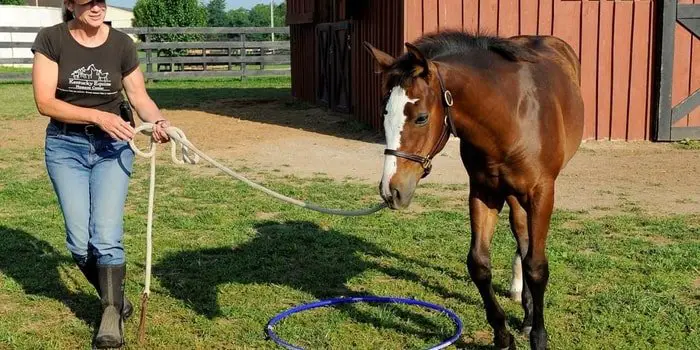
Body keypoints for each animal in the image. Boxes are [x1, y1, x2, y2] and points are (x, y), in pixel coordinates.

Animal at [366, 30, 584, 350]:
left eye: (421, 117)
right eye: (384, 113)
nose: (391, 190)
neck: (512, 116)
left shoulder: (542, 194)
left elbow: (537, 267)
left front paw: (538, 337)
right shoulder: (483, 192)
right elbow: (479, 264)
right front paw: (503, 335)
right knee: (521, 234)